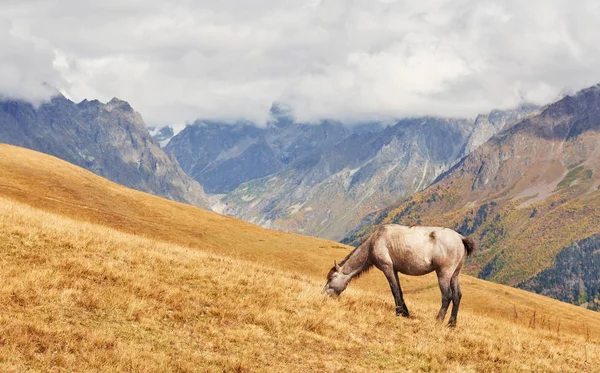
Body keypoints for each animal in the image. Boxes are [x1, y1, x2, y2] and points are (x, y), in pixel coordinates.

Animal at [326, 224, 476, 326]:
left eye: (331, 278)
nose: (324, 294)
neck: (375, 241)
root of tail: (460, 238)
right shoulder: (395, 270)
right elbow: (399, 290)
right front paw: (405, 312)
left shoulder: (388, 268)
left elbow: (395, 290)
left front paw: (399, 313)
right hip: (454, 275)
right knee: (457, 296)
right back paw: (451, 324)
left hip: (443, 274)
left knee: (447, 296)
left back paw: (438, 320)